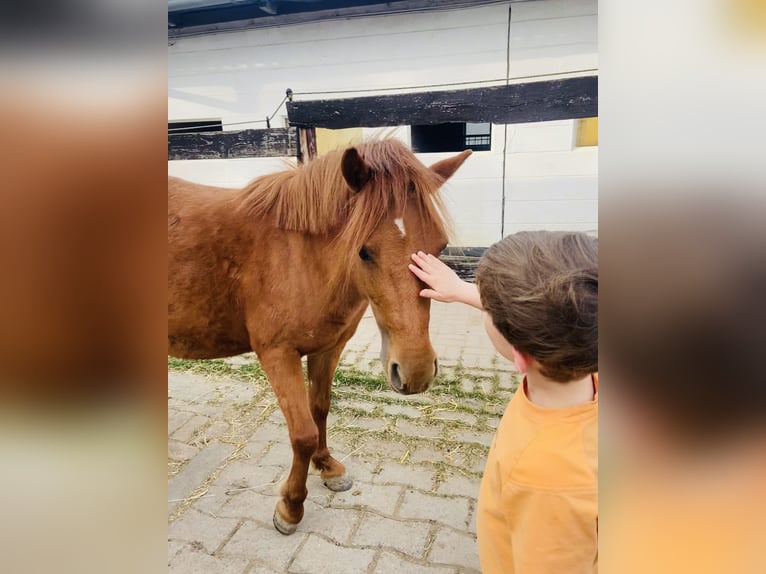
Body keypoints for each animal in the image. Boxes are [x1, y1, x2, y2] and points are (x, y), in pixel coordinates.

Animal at [167, 140, 472, 536]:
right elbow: (303, 434)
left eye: (438, 247)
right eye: (364, 250)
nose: (416, 371)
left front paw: (326, 466)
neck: (299, 256)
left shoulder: (329, 348)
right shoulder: (278, 354)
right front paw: (291, 506)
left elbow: (320, 410)